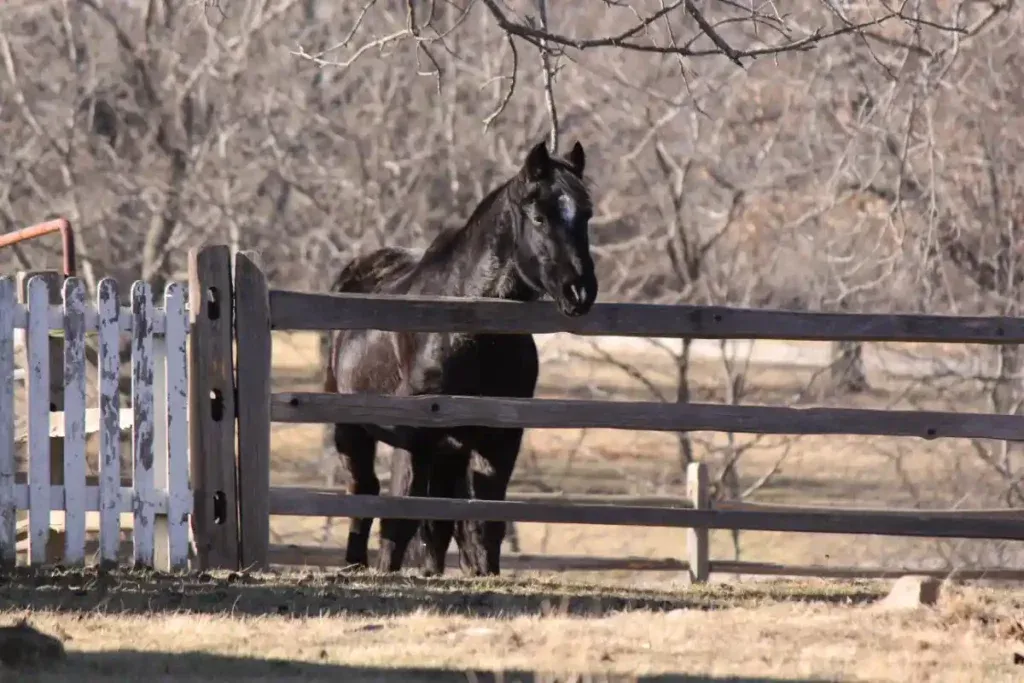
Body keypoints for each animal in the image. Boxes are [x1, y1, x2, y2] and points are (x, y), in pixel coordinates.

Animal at [323, 140, 598, 576]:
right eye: (539, 216)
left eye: (586, 214)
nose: (580, 292)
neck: (466, 329)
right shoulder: (414, 439)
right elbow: (399, 521)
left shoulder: (498, 440)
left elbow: (481, 523)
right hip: (352, 429)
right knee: (364, 493)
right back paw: (355, 566)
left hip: (448, 453)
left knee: (439, 524)